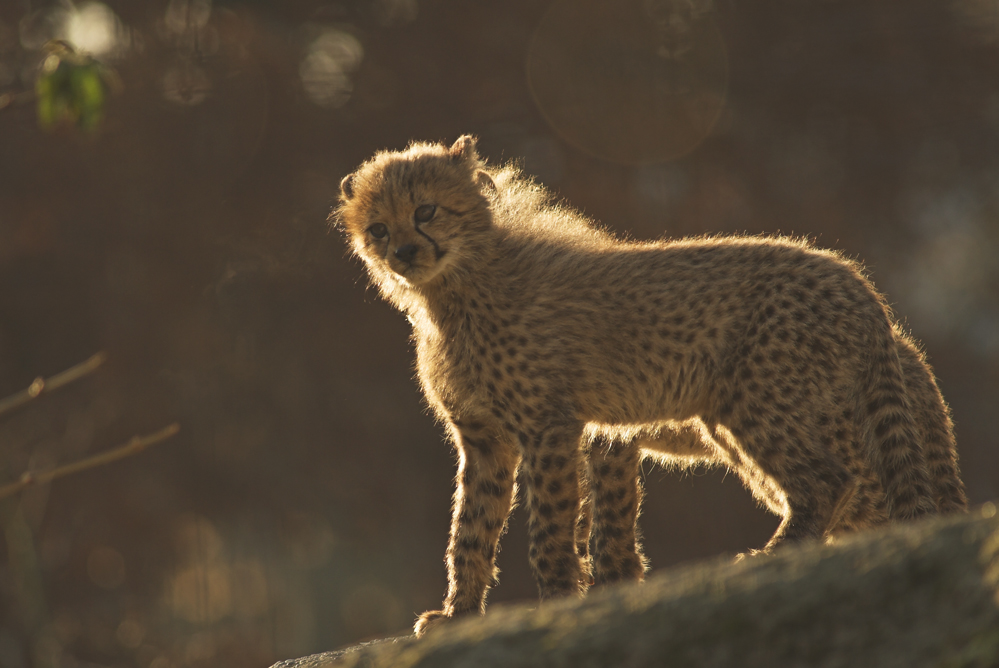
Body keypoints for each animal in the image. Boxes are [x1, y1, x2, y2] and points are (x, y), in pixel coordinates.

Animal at [336, 134, 968, 636]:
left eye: (426, 210)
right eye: (378, 228)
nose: (403, 252)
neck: (455, 290)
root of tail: (855, 279)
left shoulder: (551, 427)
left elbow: (550, 527)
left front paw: (558, 599)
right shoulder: (487, 441)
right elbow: (471, 529)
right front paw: (458, 613)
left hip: (756, 402)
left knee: (835, 481)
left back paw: (773, 556)